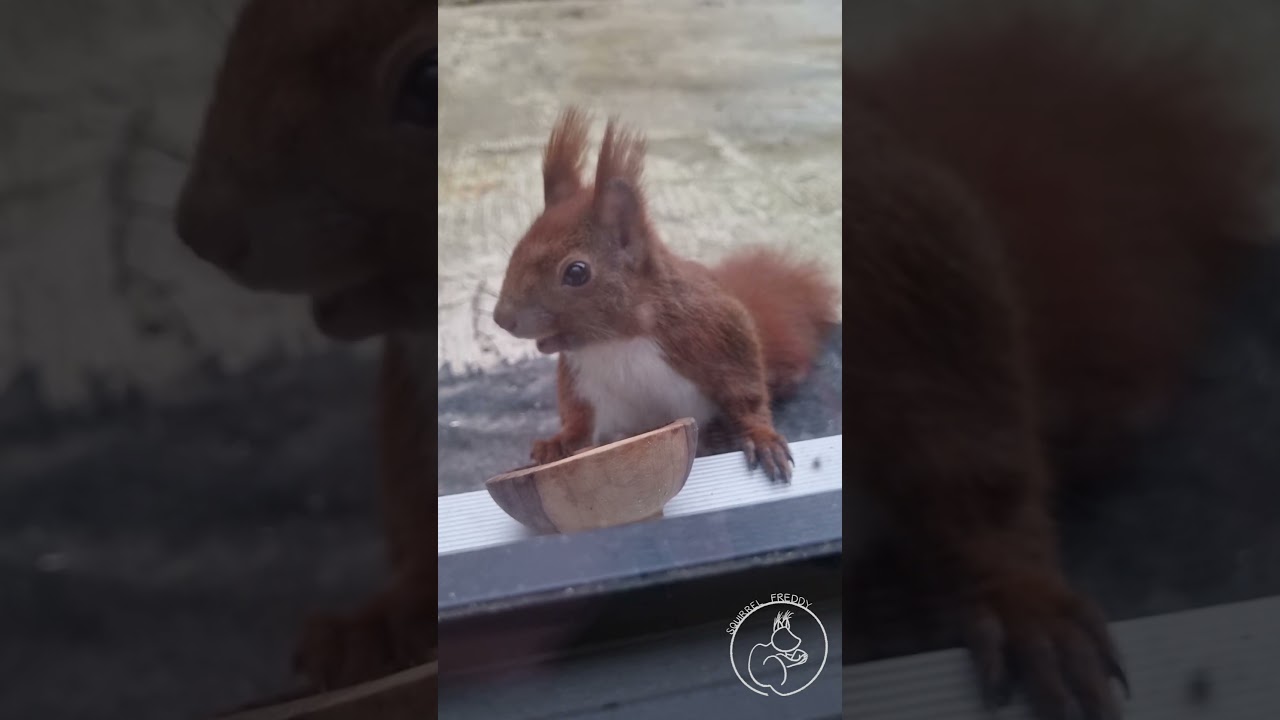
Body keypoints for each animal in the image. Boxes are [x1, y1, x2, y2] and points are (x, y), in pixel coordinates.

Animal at [492, 108, 839, 482]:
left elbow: (746, 392)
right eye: (518, 247)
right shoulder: (581, 378)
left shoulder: (716, 329)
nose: (502, 318)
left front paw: (762, 438)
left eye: (576, 272)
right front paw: (556, 444)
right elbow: (578, 420)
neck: (619, 339)